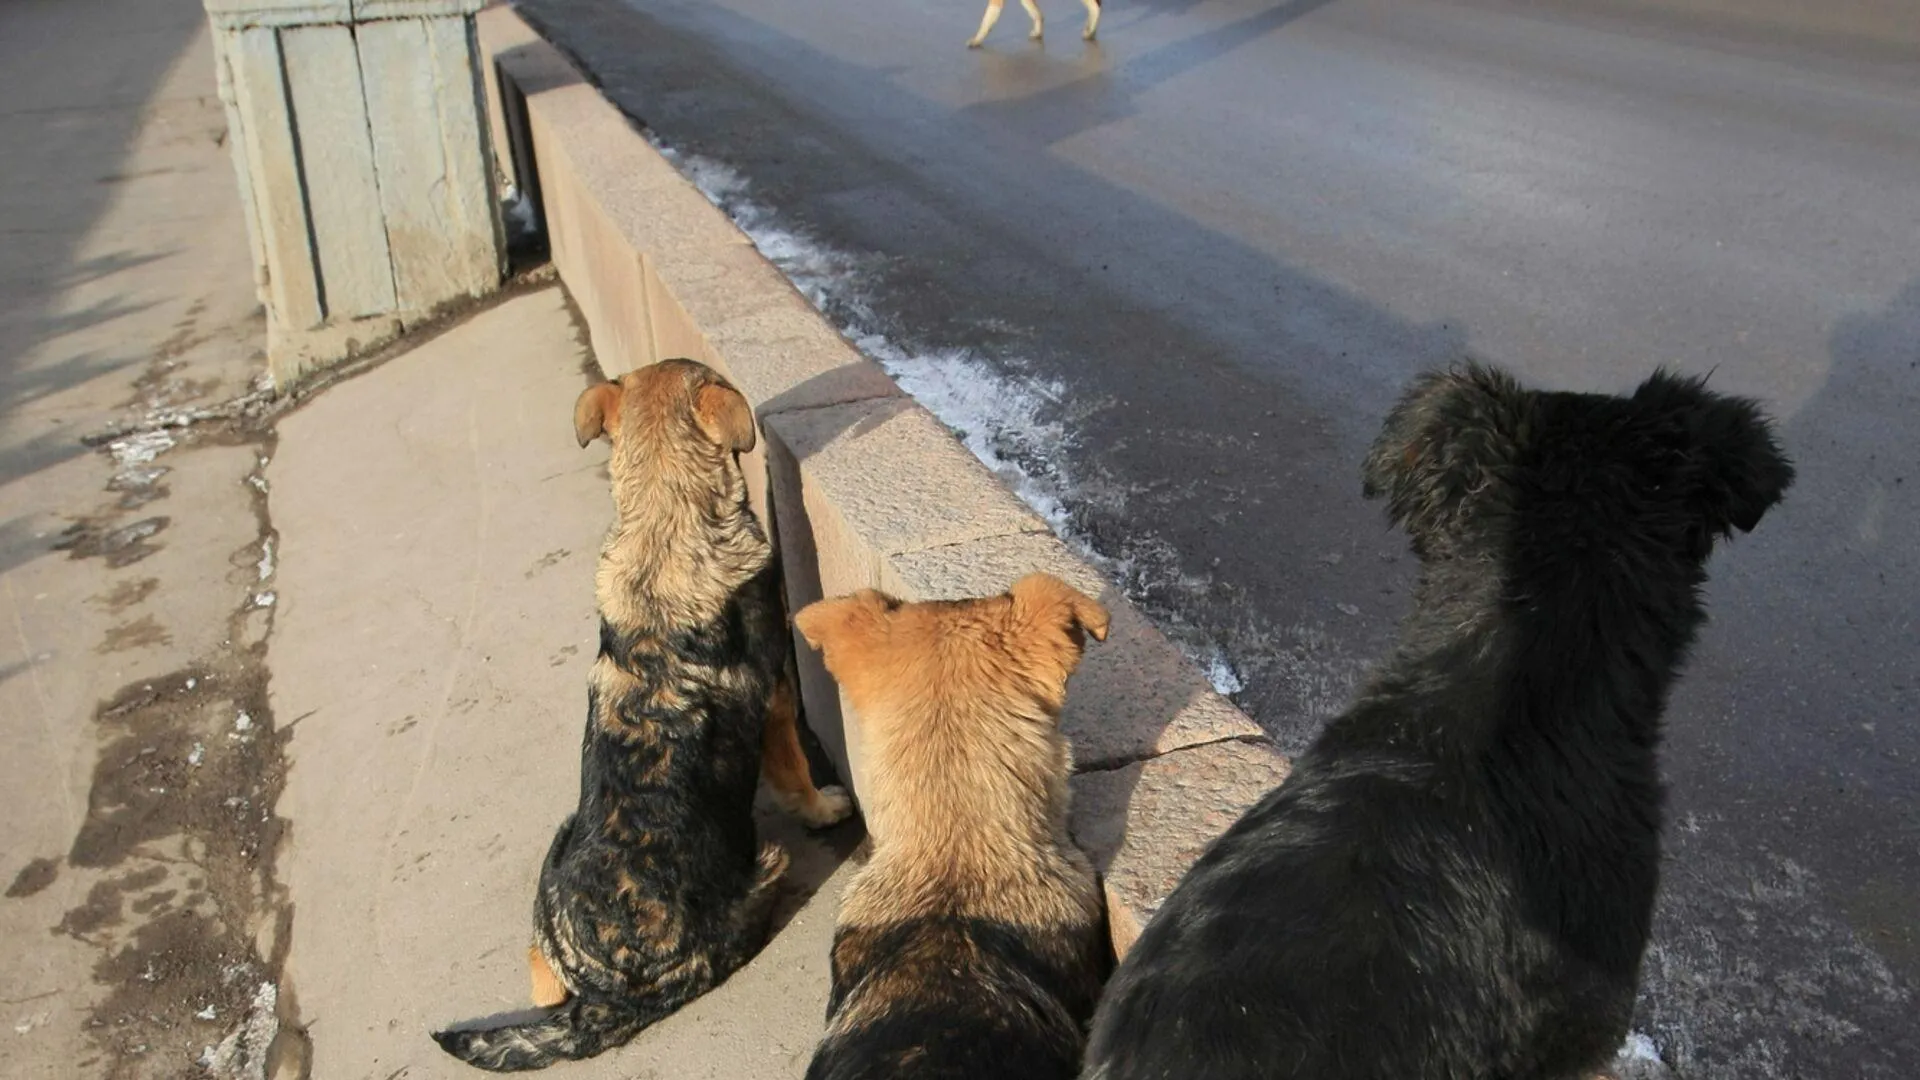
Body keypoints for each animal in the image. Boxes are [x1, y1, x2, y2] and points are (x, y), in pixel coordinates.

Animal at [441, 359, 856, 1068]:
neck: (665, 527)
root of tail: (612, 997)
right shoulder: (777, 702)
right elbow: (798, 774)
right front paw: (825, 806)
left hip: (554, 872)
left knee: (539, 975)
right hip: (765, 865)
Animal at [967, 0, 1105, 47]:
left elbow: (986, 20)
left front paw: (976, 40)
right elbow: (1036, 13)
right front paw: (1038, 32)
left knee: (1095, 7)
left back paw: (1090, 32)